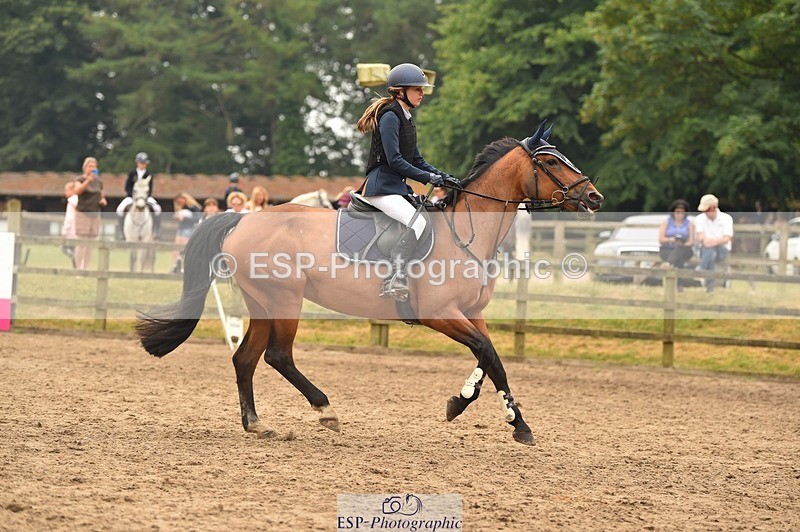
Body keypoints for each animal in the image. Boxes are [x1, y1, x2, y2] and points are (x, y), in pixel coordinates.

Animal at [136, 121, 604, 445]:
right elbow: (487, 354)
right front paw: (490, 414)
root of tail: (244, 219)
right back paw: (325, 410)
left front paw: (492, 413)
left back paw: (256, 424)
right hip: (284, 299)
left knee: (245, 358)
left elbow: (491, 359)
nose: (594, 197)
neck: (467, 234)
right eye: (551, 161)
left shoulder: (472, 314)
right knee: (277, 356)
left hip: (263, 302)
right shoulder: (440, 315)